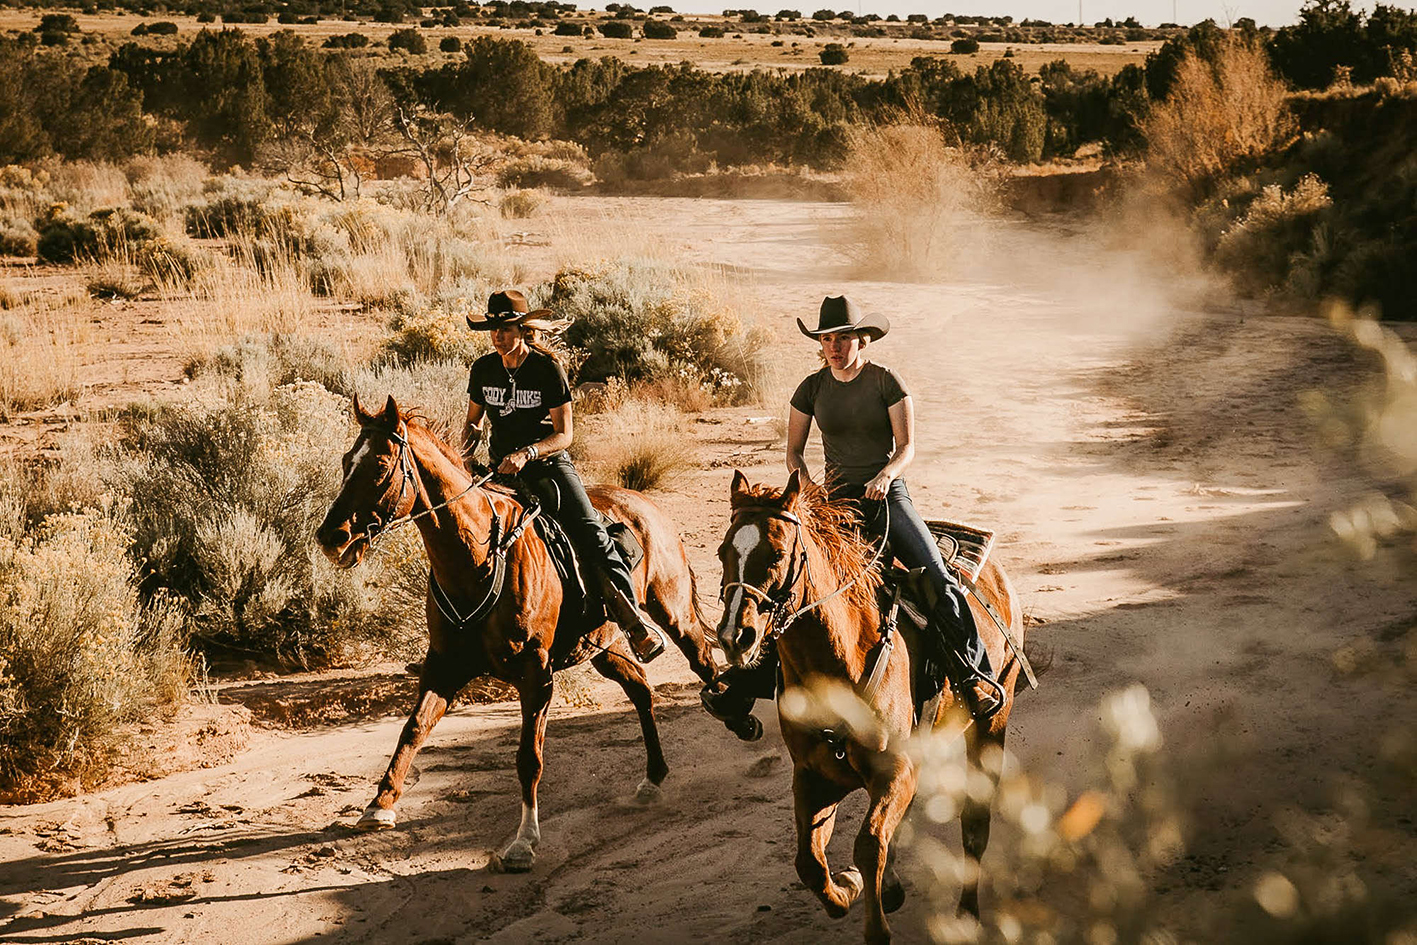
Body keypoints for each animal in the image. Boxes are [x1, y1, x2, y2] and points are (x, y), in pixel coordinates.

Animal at [321, 393, 719, 872]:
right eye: (347, 461)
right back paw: (654, 778)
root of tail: (646, 502)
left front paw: (524, 841)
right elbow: (413, 729)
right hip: (602, 646)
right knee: (641, 689)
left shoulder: (535, 674)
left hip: (674, 612)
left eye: (379, 465)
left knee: (704, 663)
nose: (331, 537)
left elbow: (529, 756)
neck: (475, 559)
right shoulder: (444, 666)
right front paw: (380, 804)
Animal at [714, 473, 1025, 945]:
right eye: (723, 552)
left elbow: (869, 844)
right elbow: (809, 860)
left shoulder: (894, 771)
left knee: (975, 822)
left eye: (779, 554)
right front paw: (846, 886)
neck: (839, 661)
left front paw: (870, 909)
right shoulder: (813, 774)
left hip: (991, 723)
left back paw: (967, 914)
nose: (737, 636)